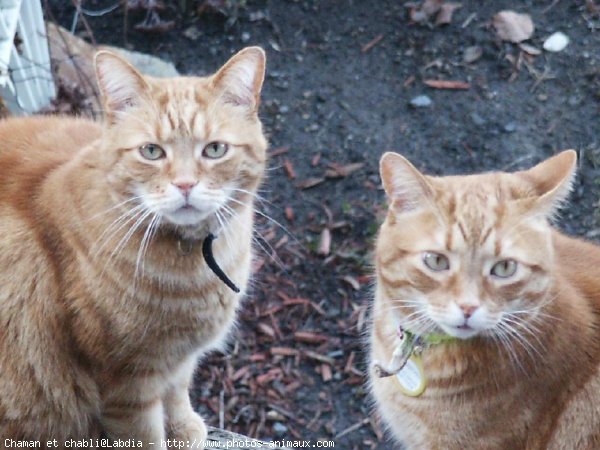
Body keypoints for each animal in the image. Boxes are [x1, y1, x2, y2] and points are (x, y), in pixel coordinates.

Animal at [0, 46, 268, 446]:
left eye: (215, 149)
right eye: (152, 152)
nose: (185, 185)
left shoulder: (178, 359)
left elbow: (178, 389)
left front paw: (182, 428)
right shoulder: (125, 385)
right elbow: (146, 435)